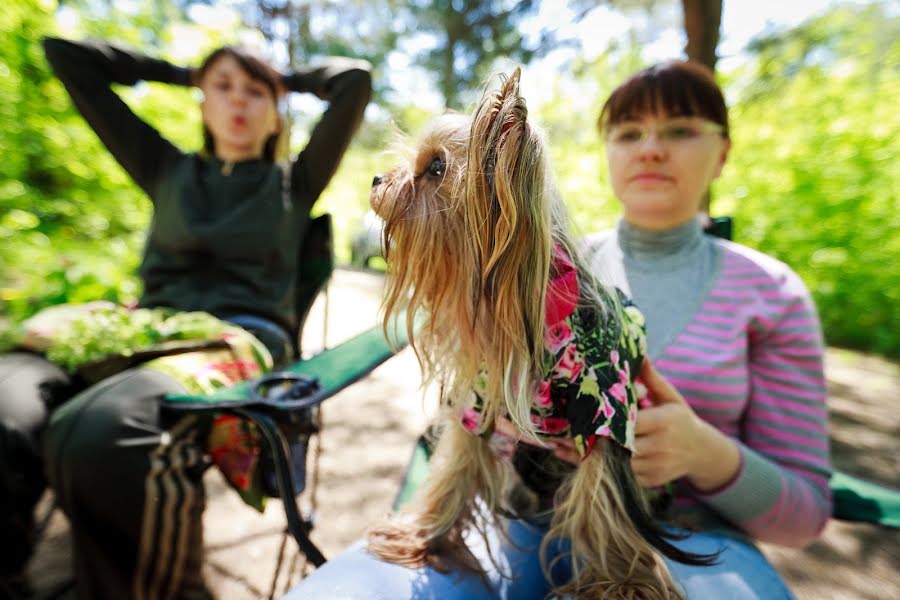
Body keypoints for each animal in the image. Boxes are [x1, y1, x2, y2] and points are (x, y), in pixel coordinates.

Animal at [366, 68, 712, 596]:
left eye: (437, 167)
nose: (377, 179)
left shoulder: (607, 409)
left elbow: (601, 498)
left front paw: (623, 582)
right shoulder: (480, 400)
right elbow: (455, 470)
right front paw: (421, 536)